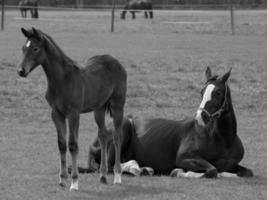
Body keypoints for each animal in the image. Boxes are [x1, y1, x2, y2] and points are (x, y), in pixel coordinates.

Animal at [17, 27, 127, 190]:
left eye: (35, 48)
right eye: (23, 48)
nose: (21, 71)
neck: (62, 80)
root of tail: (115, 61)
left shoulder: (73, 114)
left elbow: (73, 145)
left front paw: (74, 182)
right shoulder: (56, 113)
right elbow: (62, 144)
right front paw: (62, 179)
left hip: (117, 105)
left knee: (117, 136)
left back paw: (117, 176)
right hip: (99, 109)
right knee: (103, 135)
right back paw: (102, 176)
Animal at [79, 67, 253, 178]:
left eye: (218, 92)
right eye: (202, 92)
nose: (200, 117)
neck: (223, 140)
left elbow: (245, 172)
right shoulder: (185, 158)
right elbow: (212, 170)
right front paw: (180, 172)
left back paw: (143, 169)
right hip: (122, 128)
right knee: (110, 167)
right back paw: (137, 168)